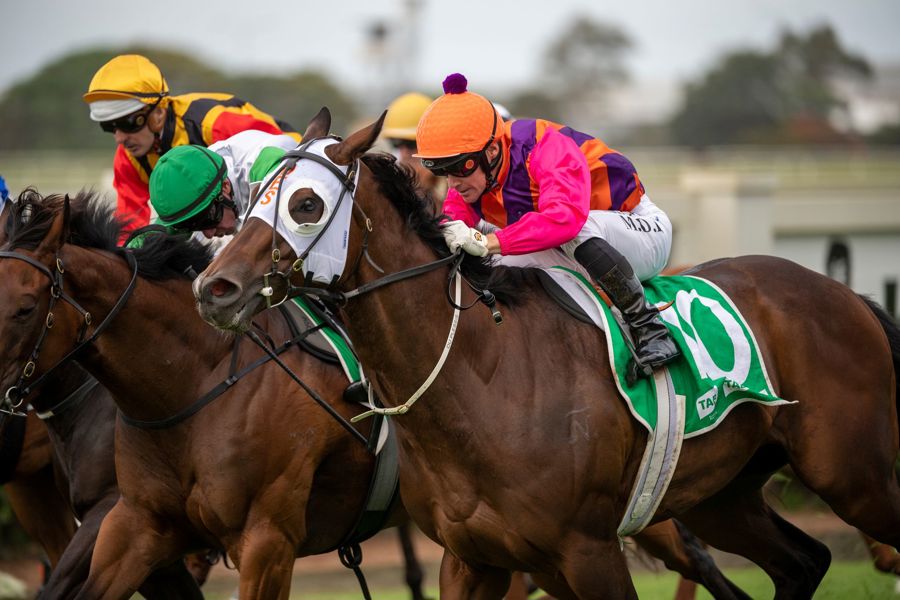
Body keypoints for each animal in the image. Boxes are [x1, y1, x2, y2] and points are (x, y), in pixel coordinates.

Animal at [193, 108, 900, 599]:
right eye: (254, 195)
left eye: (306, 204)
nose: (214, 288)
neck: (480, 377)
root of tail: (846, 293)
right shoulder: (470, 558)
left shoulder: (588, 550)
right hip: (724, 495)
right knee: (804, 561)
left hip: (854, 474)